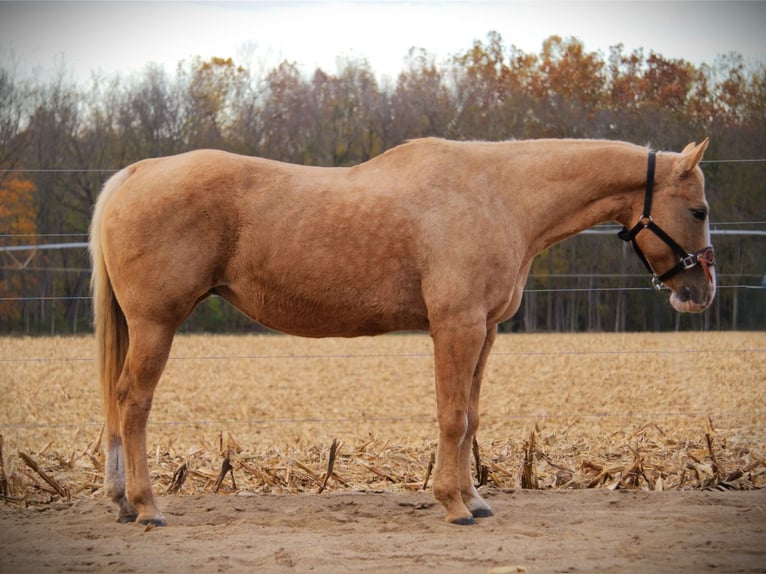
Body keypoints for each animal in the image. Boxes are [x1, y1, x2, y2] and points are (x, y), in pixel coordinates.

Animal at [90, 137, 715, 526]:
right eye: (700, 210)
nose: (700, 292)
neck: (498, 195)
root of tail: (135, 174)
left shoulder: (484, 332)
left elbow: (471, 418)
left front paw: (474, 499)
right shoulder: (456, 327)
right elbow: (452, 416)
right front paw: (454, 505)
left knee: (119, 404)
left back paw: (122, 501)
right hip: (156, 324)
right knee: (133, 402)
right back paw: (146, 507)